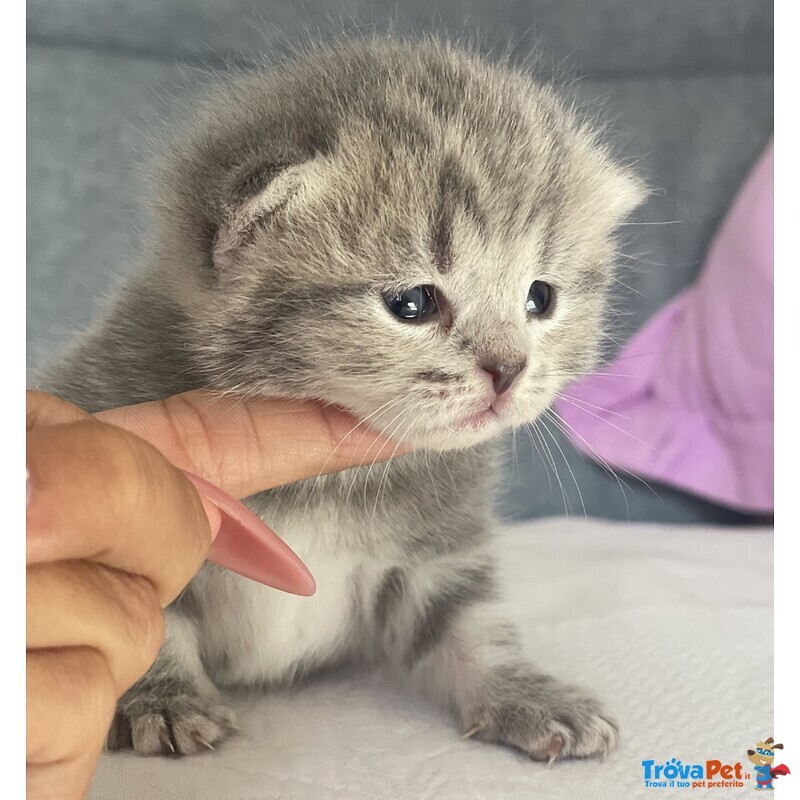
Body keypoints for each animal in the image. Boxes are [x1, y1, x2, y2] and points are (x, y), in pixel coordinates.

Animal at [40, 37, 648, 764]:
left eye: (541, 297)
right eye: (413, 303)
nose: (509, 369)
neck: (330, 481)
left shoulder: (434, 549)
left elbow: (471, 624)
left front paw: (526, 693)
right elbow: (147, 611)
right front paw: (165, 696)